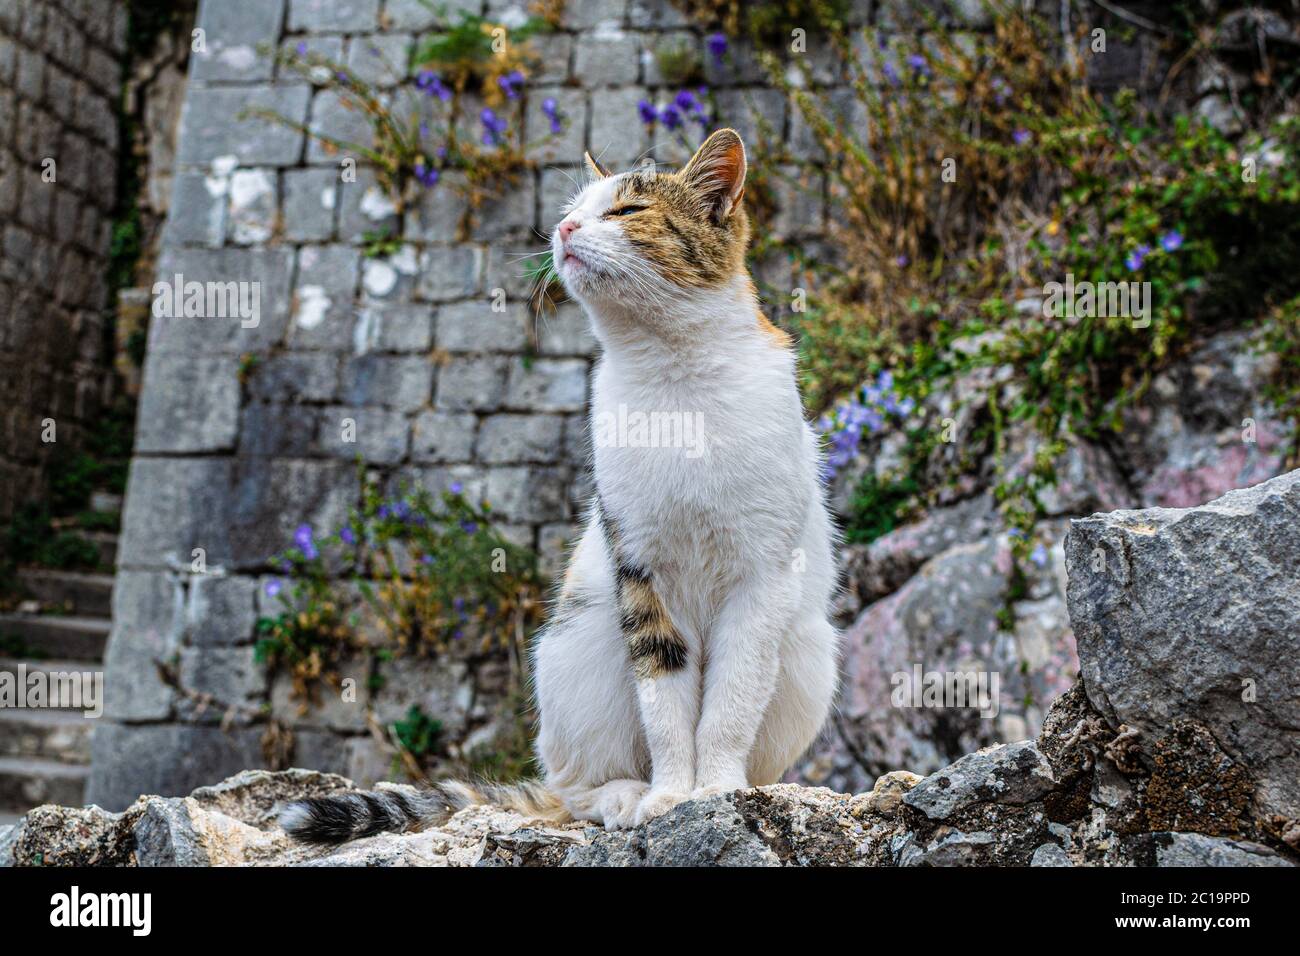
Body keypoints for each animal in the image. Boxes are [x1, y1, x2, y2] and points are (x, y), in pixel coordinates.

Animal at [279, 128, 837, 842]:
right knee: (572, 790)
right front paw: (670, 796)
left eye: (626, 211)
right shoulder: (640, 569)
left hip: (810, 648)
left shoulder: (763, 575)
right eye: (574, 209)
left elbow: (731, 700)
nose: (565, 228)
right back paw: (624, 794)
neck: (675, 377)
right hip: (578, 638)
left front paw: (715, 790)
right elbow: (664, 696)